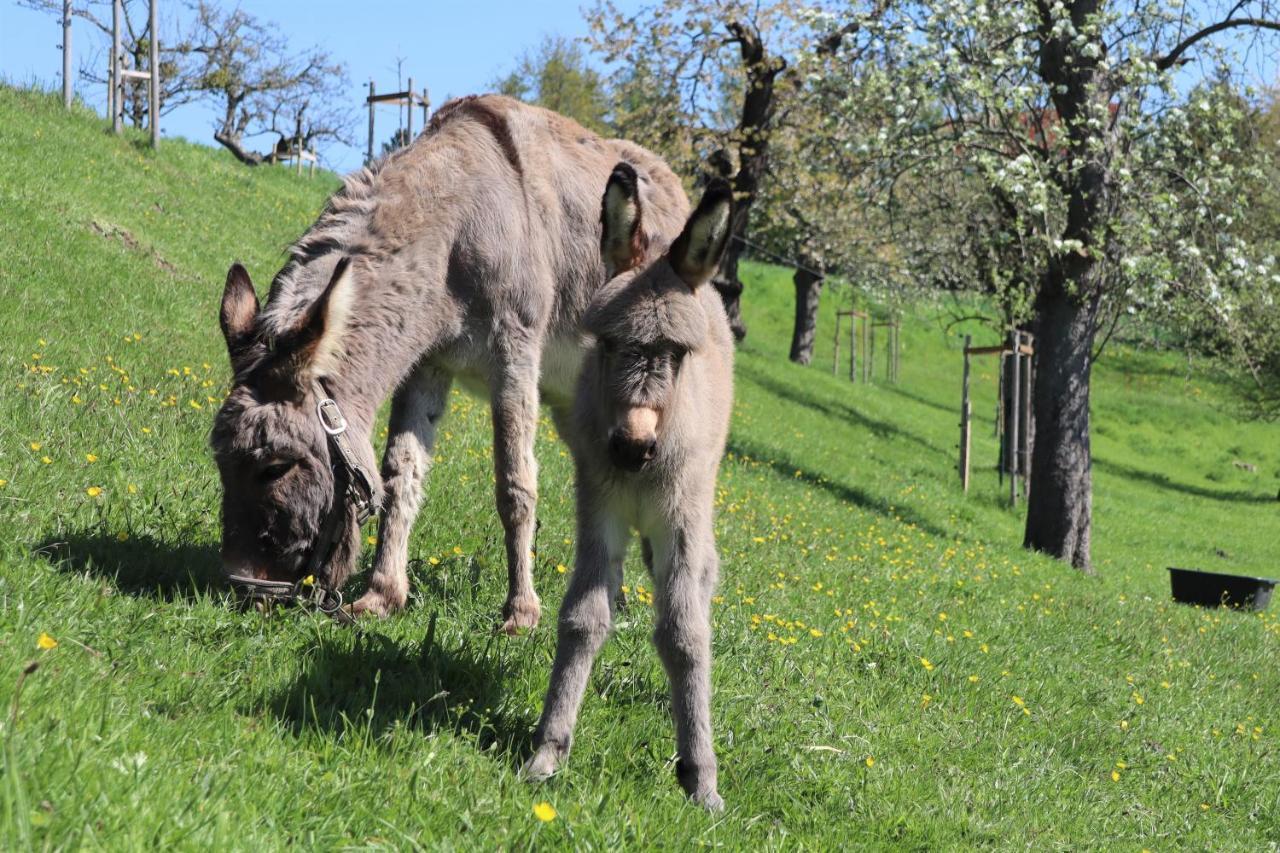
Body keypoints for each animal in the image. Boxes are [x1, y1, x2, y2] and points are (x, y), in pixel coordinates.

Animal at [524, 163, 737, 804]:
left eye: (678, 354)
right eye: (609, 343)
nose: (632, 447)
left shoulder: (682, 516)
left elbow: (684, 635)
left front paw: (701, 777)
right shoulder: (601, 507)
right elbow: (583, 617)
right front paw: (548, 751)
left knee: (702, 580)